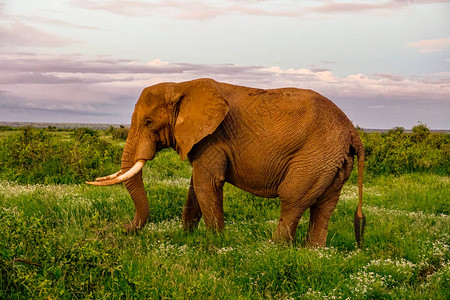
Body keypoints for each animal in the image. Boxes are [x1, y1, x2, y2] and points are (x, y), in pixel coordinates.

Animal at [88, 78, 366, 247]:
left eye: (148, 122)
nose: (123, 227)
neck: (181, 86)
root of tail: (352, 131)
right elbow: (195, 188)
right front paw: (186, 238)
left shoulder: (213, 137)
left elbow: (207, 184)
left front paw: (215, 245)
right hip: (334, 160)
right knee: (324, 206)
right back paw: (314, 252)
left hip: (315, 155)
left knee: (293, 199)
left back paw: (274, 250)